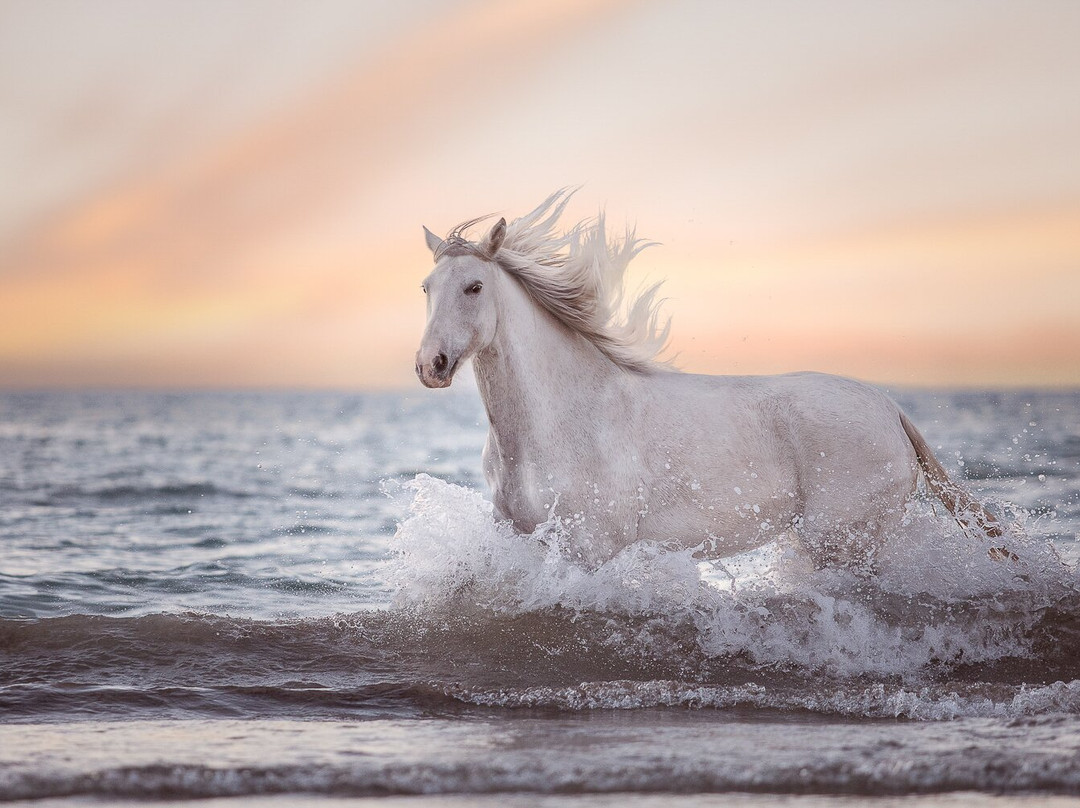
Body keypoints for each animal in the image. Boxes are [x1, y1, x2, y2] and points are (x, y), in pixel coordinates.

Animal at [414, 190, 1010, 570]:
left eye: (473, 287)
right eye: (426, 287)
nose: (430, 366)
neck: (558, 419)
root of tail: (890, 410)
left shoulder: (591, 546)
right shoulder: (519, 536)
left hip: (843, 544)